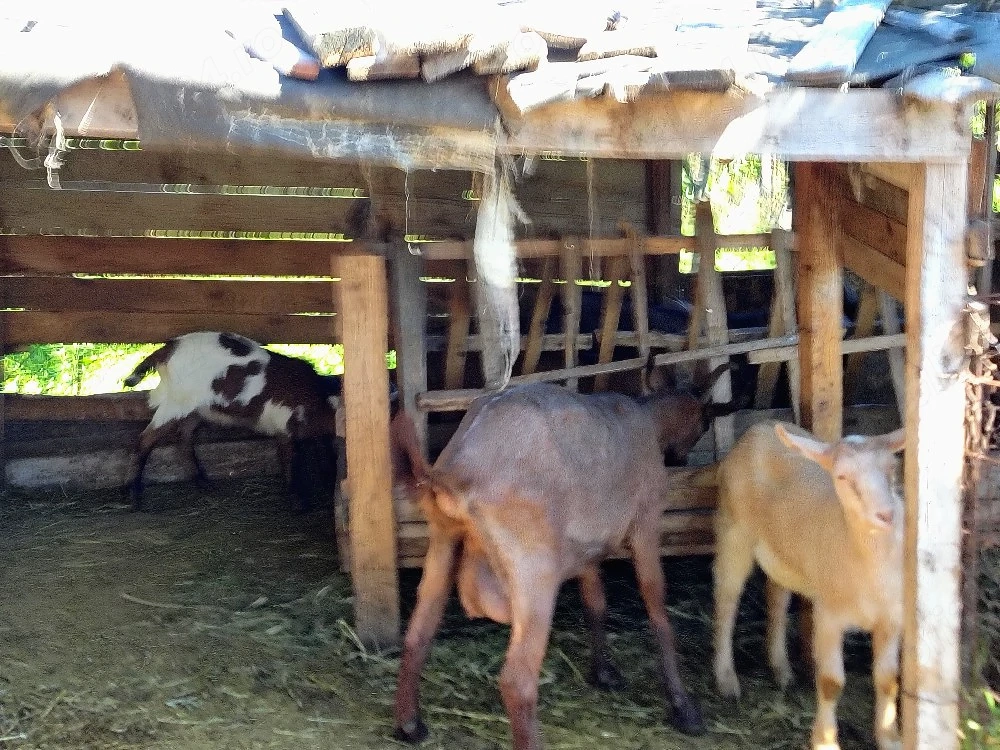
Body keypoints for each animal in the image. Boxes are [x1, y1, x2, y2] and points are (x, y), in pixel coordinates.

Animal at [122, 331, 353, 513]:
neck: (319, 398)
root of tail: (167, 349)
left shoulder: (313, 433)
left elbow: (324, 454)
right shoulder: (285, 427)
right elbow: (290, 461)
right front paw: (298, 504)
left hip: (195, 409)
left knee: (184, 438)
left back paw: (203, 483)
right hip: (176, 402)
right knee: (144, 441)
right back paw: (135, 499)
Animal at [392, 367, 739, 750]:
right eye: (705, 422)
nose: (680, 457)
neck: (648, 420)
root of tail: (455, 471)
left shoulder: (587, 548)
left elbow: (595, 603)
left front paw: (603, 672)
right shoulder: (646, 523)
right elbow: (658, 610)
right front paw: (684, 709)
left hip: (443, 541)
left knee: (417, 635)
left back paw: (409, 724)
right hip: (533, 569)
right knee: (517, 681)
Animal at [700, 420, 905, 750]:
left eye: (892, 468)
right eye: (842, 476)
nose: (887, 514)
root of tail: (759, 428)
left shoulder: (892, 618)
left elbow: (889, 680)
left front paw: (890, 739)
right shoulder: (829, 616)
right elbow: (831, 682)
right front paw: (825, 740)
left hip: (782, 553)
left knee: (776, 598)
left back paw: (781, 669)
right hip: (733, 531)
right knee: (726, 601)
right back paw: (726, 680)